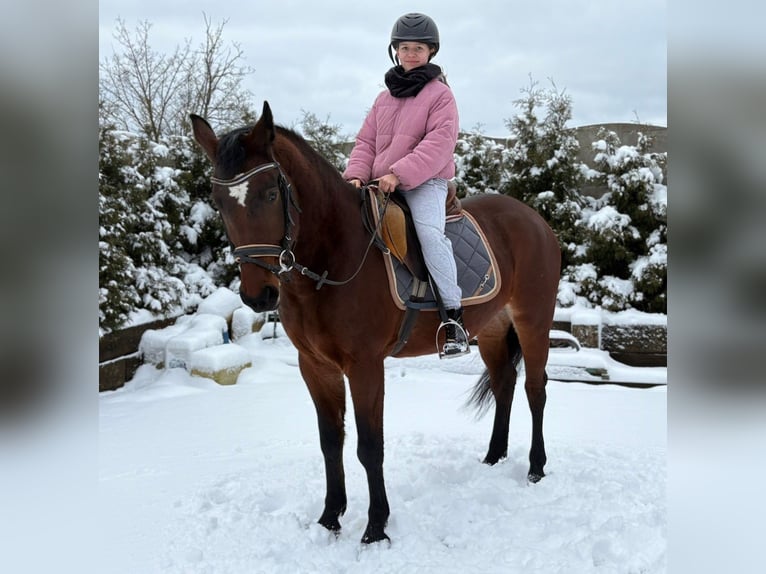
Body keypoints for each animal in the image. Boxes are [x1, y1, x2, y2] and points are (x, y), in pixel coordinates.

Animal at [190, 101, 564, 548]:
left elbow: (370, 446)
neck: (334, 256)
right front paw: (330, 518)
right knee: (504, 383)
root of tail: (535, 219)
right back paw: (493, 456)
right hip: (490, 326)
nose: (257, 295)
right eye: (218, 201)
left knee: (535, 389)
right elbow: (330, 441)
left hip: (533, 320)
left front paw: (375, 528)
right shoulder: (315, 366)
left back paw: (536, 467)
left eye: (270, 193)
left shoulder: (365, 366)